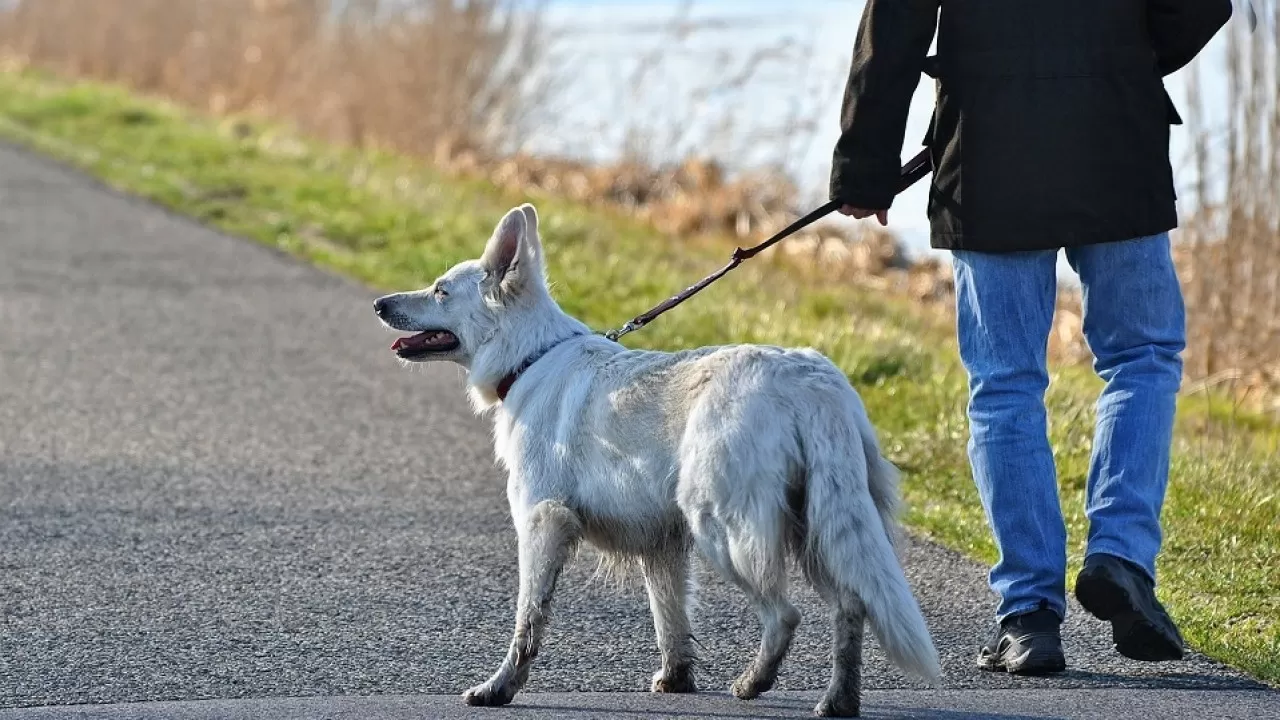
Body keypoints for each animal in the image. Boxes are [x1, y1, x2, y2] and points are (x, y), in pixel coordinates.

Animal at [371, 199, 942, 712]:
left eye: (441, 290)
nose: (378, 304)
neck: (530, 356)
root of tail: (811, 381)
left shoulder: (542, 523)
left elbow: (528, 618)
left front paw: (500, 688)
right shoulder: (661, 545)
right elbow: (670, 620)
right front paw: (676, 680)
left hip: (724, 529)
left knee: (785, 615)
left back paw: (754, 682)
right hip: (818, 528)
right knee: (851, 606)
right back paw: (837, 700)